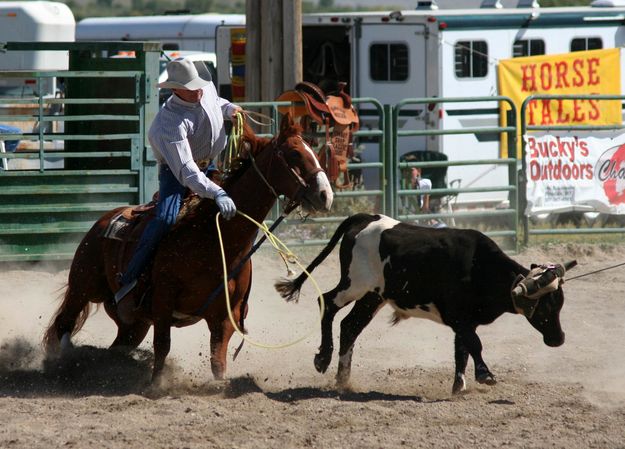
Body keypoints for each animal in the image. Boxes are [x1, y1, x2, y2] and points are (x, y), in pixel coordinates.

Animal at [44, 114, 334, 380]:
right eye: (295, 153)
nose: (326, 196)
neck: (214, 239)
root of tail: (103, 221)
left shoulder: (226, 316)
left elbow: (218, 360)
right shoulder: (163, 300)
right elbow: (163, 347)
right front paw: (157, 385)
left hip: (133, 322)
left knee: (117, 344)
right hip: (83, 288)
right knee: (62, 326)